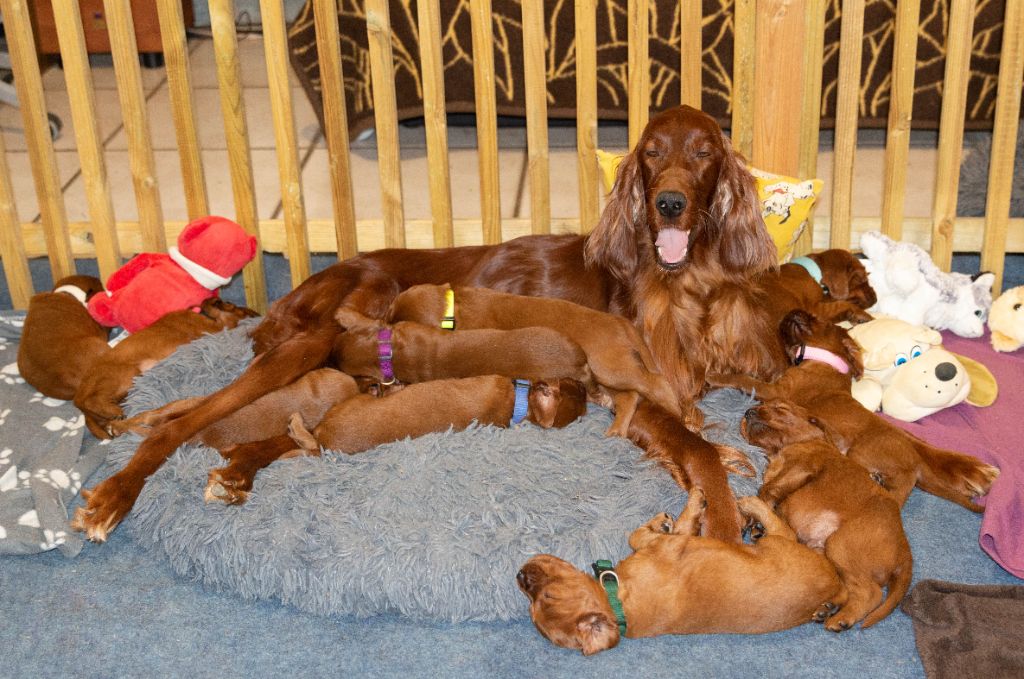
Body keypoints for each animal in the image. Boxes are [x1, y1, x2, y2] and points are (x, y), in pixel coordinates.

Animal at [72, 299, 256, 438]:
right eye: (243, 310)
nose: (258, 314)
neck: (203, 315)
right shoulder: (211, 329)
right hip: (126, 375)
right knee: (90, 400)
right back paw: (114, 411)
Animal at [387, 284, 684, 432]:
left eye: (397, 324)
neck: (453, 306)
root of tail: (621, 323)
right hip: (611, 374)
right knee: (630, 397)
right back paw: (616, 429)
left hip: (611, 367)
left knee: (656, 384)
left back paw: (679, 413)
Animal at [516, 485, 843, 655]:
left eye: (543, 598)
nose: (520, 576)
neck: (618, 602)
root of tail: (831, 579)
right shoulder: (670, 545)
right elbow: (652, 533)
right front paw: (692, 504)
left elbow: (634, 535)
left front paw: (661, 521)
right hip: (780, 543)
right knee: (780, 526)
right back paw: (751, 505)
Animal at [708, 311, 995, 512]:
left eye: (817, 318)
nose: (794, 310)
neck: (824, 361)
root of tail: (915, 461)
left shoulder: (776, 390)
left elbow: (745, 380)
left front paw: (715, 376)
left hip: (863, 451)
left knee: (900, 490)